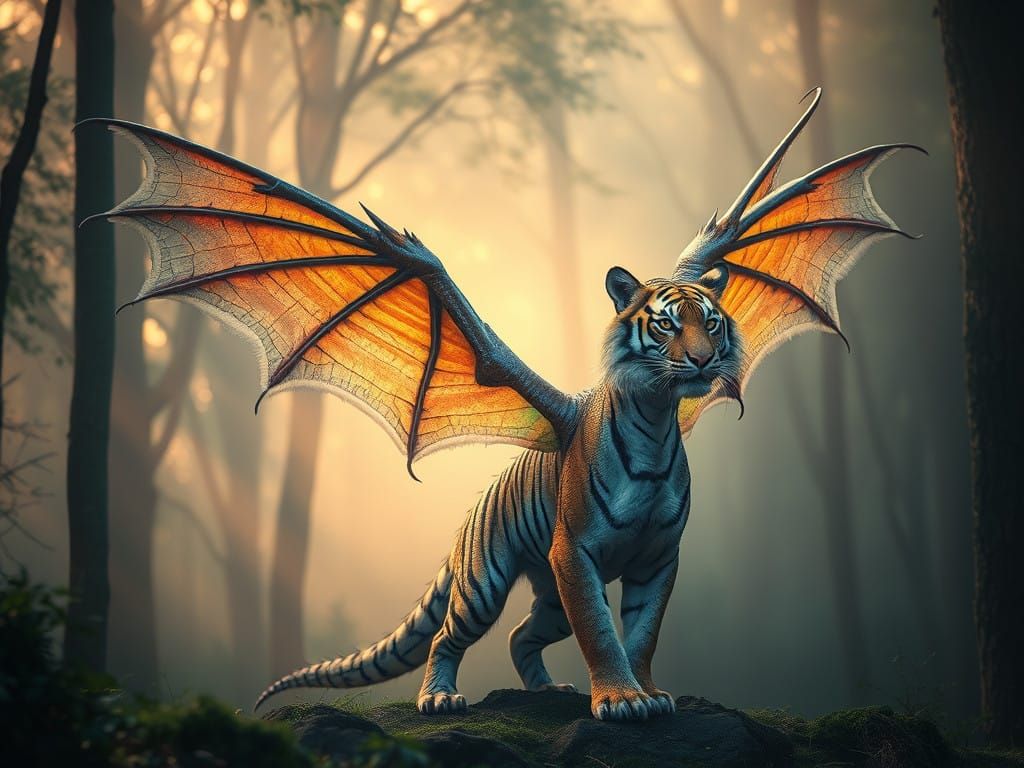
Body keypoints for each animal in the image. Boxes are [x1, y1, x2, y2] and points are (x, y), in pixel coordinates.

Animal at [254, 263, 741, 722]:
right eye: (666, 324)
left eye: (711, 323)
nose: (702, 360)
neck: (655, 425)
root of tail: (472, 511)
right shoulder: (574, 552)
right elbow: (600, 633)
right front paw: (621, 700)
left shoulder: (658, 558)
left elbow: (644, 633)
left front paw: (649, 694)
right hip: (485, 588)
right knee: (444, 637)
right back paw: (438, 698)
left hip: (554, 597)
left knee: (518, 635)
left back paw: (545, 689)